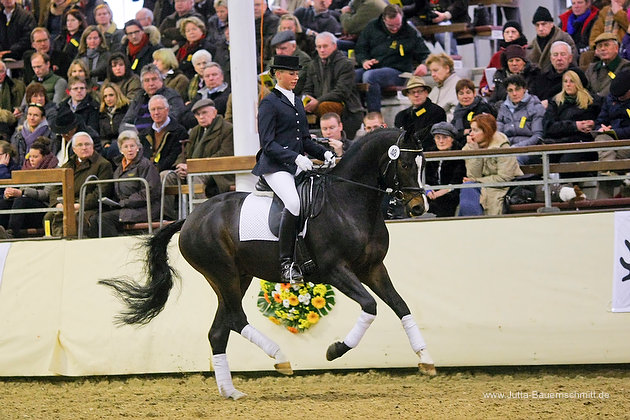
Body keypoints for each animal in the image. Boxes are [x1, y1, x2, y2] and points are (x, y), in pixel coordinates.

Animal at [102, 129, 440, 400]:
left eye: (424, 164)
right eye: (405, 164)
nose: (418, 206)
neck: (348, 202)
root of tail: (191, 218)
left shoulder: (373, 268)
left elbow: (400, 305)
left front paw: (425, 358)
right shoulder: (336, 270)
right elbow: (370, 306)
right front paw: (335, 349)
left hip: (238, 277)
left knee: (219, 330)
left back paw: (231, 392)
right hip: (222, 273)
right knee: (236, 318)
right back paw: (280, 358)